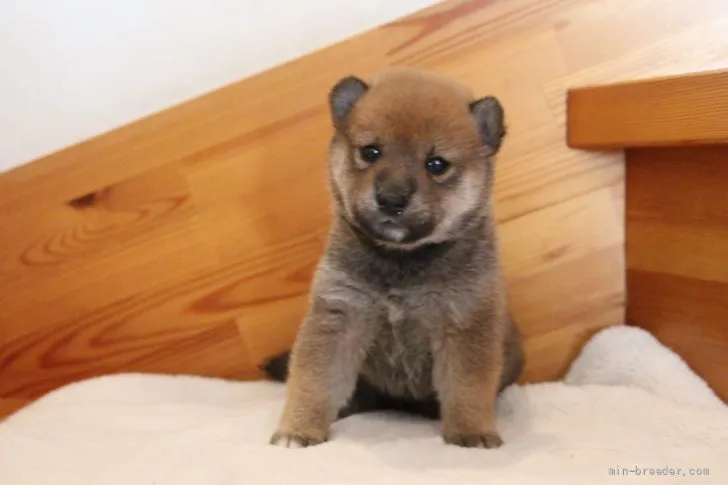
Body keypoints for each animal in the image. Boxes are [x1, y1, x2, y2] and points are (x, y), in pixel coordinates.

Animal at [262, 66, 524, 448]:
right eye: (371, 152)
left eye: (436, 164)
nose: (391, 198)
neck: (402, 262)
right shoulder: (341, 313)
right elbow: (313, 381)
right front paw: (299, 430)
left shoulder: (465, 321)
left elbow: (468, 388)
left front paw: (471, 433)